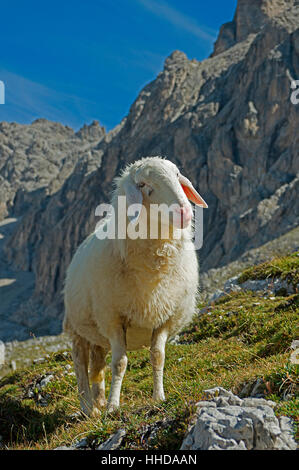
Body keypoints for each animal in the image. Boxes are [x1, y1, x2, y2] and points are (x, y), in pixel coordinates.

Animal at [63, 158, 209, 414]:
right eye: (142, 184)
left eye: (177, 175)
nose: (183, 211)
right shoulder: (113, 318)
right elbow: (120, 363)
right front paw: (113, 406)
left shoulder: (164, 316)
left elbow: (158, 356)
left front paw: (159, 397)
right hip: (78, 327)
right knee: (80, 365)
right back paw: (89, 407)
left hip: (98, 335)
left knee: (96, 365)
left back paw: (98, 400)